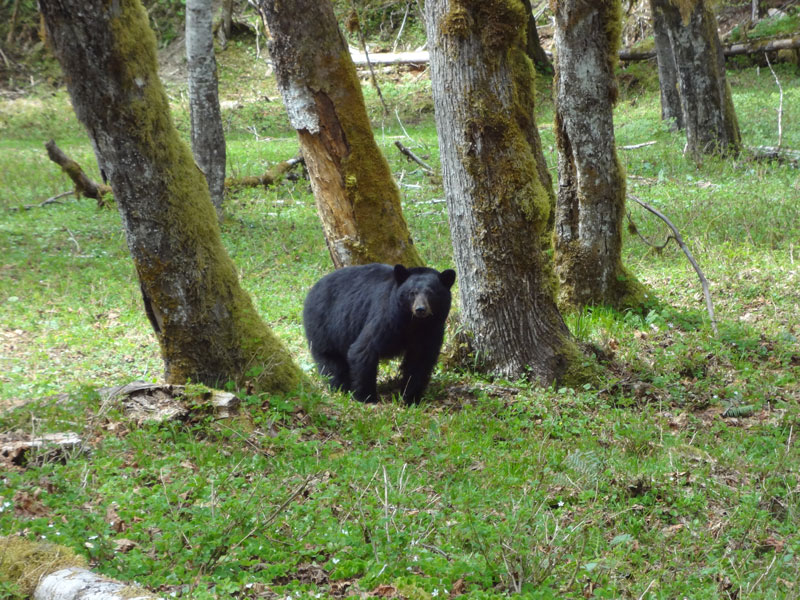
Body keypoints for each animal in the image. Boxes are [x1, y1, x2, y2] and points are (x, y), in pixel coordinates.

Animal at [303, 263, 456, 404]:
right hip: (325, 326)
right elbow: (364, 349)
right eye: (412, 292)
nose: (420, 309)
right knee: (330, 361)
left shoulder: (432, 329)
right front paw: (366, 397)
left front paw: (410, 397)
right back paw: (340, 388)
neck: (414, 323)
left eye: (431, 292)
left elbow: (420, 359)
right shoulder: (387, 318)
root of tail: (312, 290)